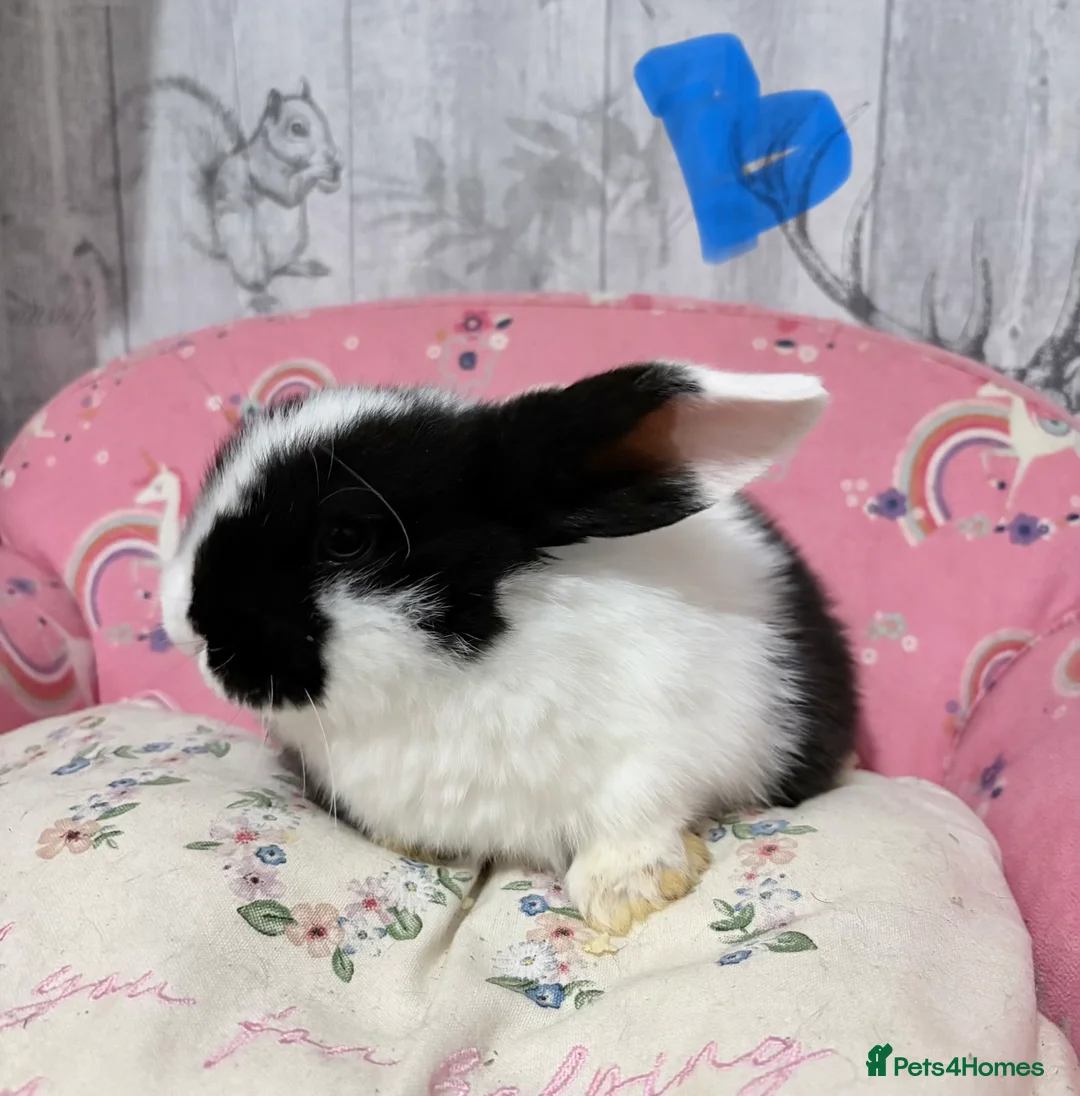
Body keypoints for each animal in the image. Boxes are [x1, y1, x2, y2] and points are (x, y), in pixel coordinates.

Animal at [161, 361, 858, 937]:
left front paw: (625, 894)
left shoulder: (665, 747)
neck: (460, 675)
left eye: (346, 539)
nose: (183, 625)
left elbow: (636, 813)